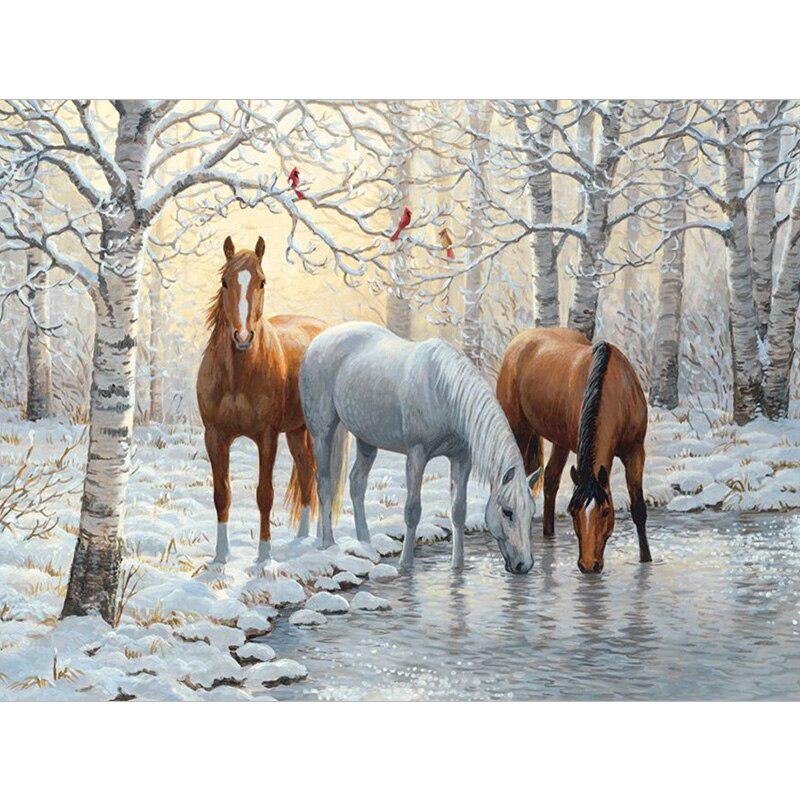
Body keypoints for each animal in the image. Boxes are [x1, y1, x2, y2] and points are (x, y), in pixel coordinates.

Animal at [196, 235, 348, 565]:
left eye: (262, 281)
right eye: (225, 281)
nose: (242, 337)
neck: (238, 378)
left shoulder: (267, 437)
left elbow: (264, 494)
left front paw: (264, 556)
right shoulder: (215, 436)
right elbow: (221, 494)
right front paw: (220, 557)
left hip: (319, 431)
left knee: (323, 479)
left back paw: (323, 541)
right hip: (296, 431)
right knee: (306, 473)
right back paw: (302, 537)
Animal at [300, 321, 540, 574]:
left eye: (532, 512)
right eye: (507, 512)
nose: (524, 564)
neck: (444, 392)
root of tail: (320, 340)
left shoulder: (461, 458)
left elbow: (458, 511)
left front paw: (457, 565)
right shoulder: (416, 455)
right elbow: (412, 510)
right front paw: (405, 564)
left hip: (366, 438)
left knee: (357, 482)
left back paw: (365, 542)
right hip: (322, 433)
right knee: (324, 483)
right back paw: (328, 543)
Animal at [497, 327, 651, 574]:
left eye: (605, 511)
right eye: (573, 511)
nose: (588, 565)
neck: (616, 389)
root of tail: (521, 340)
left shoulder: (635, 451)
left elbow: (638, 508)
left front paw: (646, 560)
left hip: (560, 442)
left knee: (551, 481)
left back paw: (549, 536)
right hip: (518, 430)